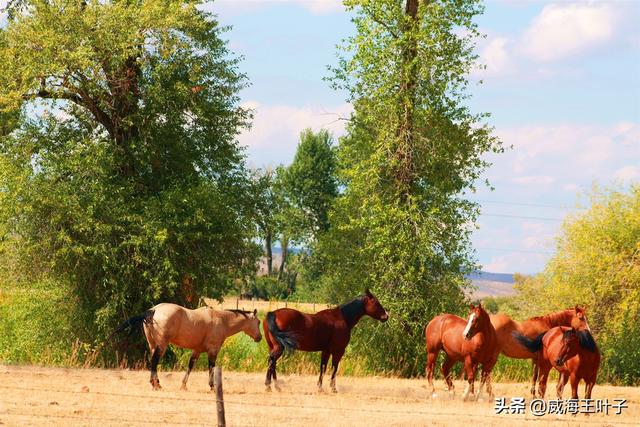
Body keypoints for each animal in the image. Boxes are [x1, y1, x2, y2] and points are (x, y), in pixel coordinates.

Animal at [111, 304, 262, 392]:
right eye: (259, 322)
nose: (259, 337)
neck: (221, 320)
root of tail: (153, 310)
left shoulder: (197, 351)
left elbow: (190, 366)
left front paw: (183, 385)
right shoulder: (213, 351)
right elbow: (211, 368)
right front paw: (212, 387)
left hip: (153, 345)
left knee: (152, 362)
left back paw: (155, 384)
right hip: (161, 346)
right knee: (154, 361)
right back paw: (157, 385)